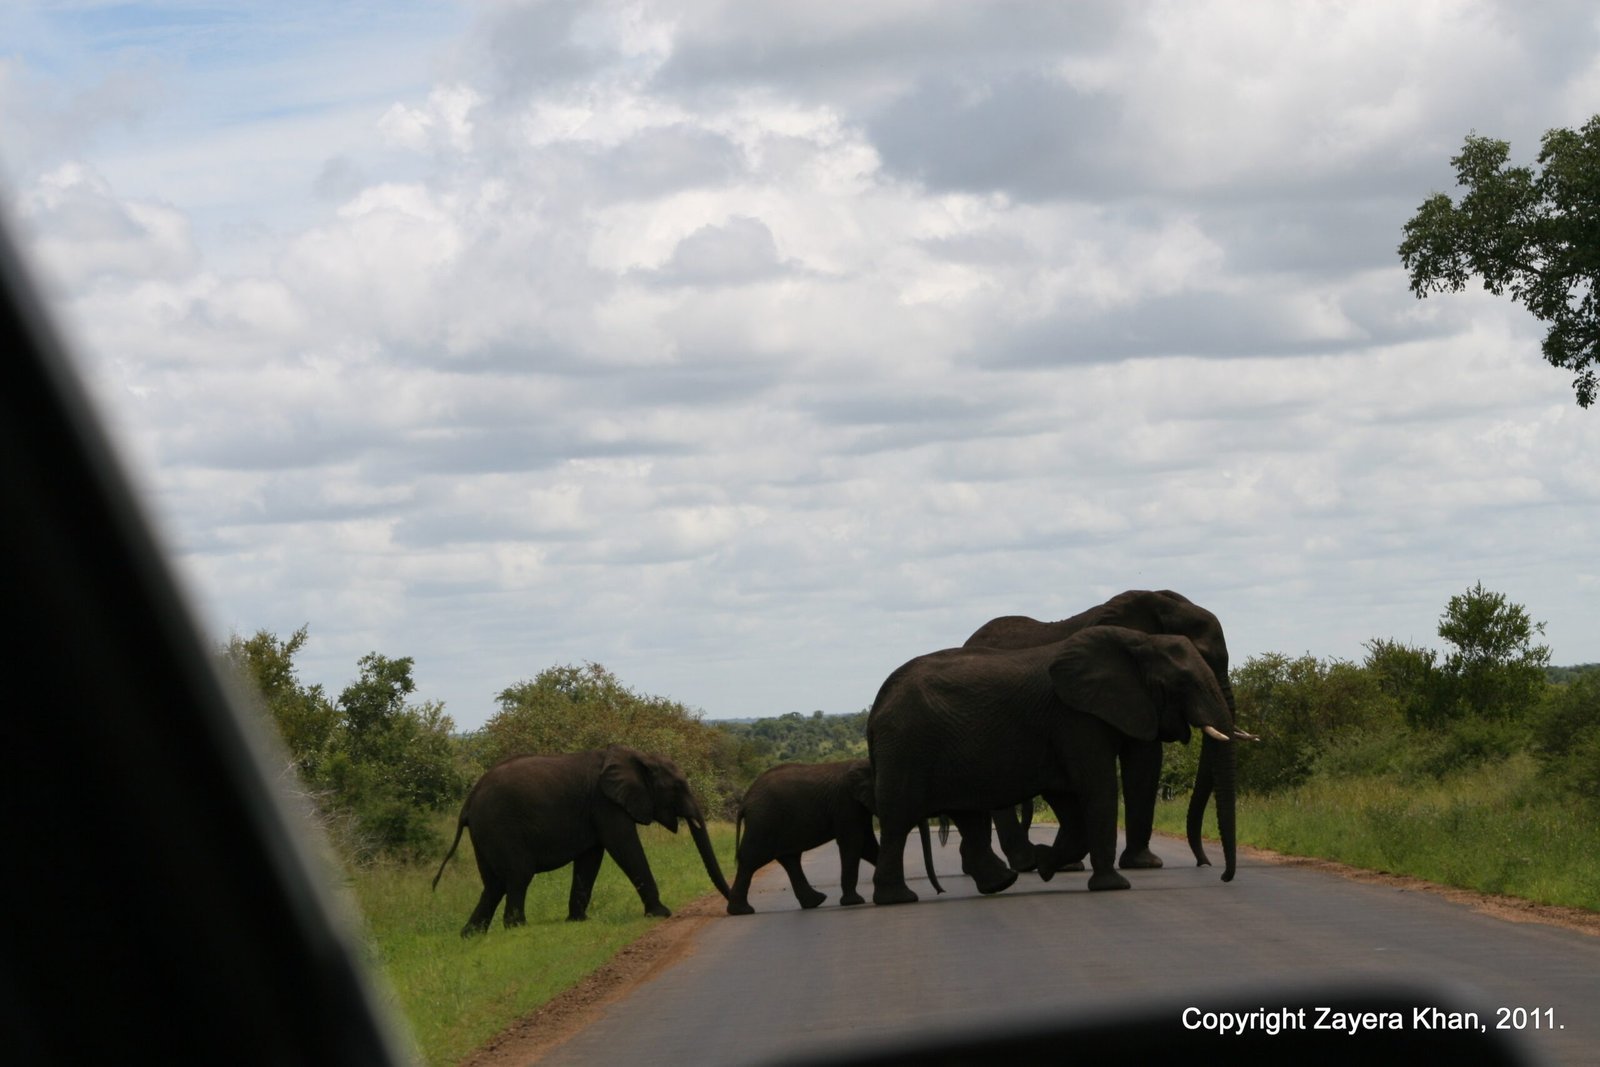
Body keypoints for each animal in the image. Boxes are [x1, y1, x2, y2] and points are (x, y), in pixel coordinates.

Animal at [432, 744, 731, 936]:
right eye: (677, 787)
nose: (731, 908)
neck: (639, 756)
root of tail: (469, 801)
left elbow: (591, 858)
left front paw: (578, 921)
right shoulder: (606, 803)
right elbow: (624, 846)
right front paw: (661, 913)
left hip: (485, 833)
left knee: (493, 884)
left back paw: (471, 934)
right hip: (500, 826)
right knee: (517, 875)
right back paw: (517, 928)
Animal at [867, 624, 1239, 904]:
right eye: (1185, 683)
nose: (1218, 874)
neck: (1139, 640)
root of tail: (878, 702)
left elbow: (1070, 803)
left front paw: (1045, 863)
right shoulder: (1075, 718)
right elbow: (1099, 787)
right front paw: (1113, 886)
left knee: (967, 814)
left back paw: (1000, 882)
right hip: (906, 746)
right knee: (898, 818)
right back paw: (899, 899)